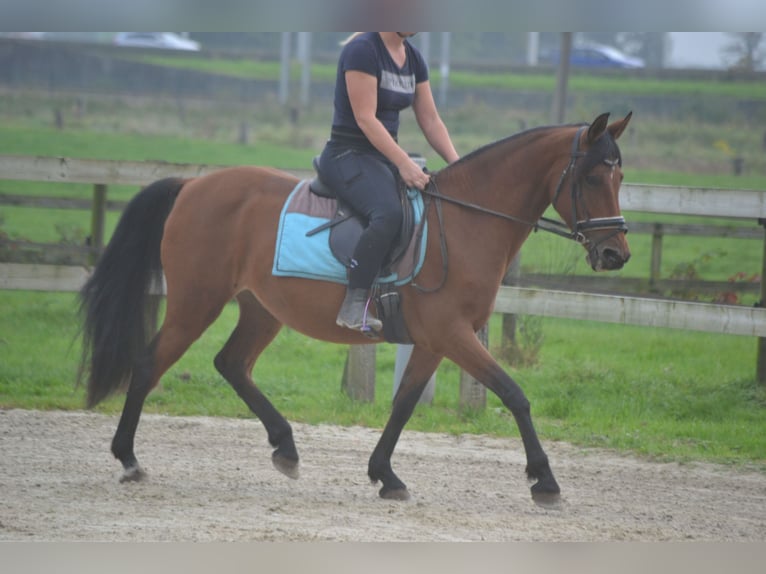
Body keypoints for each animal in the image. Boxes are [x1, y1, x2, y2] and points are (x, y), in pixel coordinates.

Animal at [76, 109, 636, 504]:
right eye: (592, 178)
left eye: (620, 177)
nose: (616, 254)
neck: (466, 223)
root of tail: (193, 184)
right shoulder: (453, 334)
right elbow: (515, 395)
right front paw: (544, 480)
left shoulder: (435, 341)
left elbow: (404, 403)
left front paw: (385, 475)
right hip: (197, 302)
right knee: (149, 363)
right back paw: (128, 459)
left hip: (261, 309)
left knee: (231, 363)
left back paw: (286, 447)